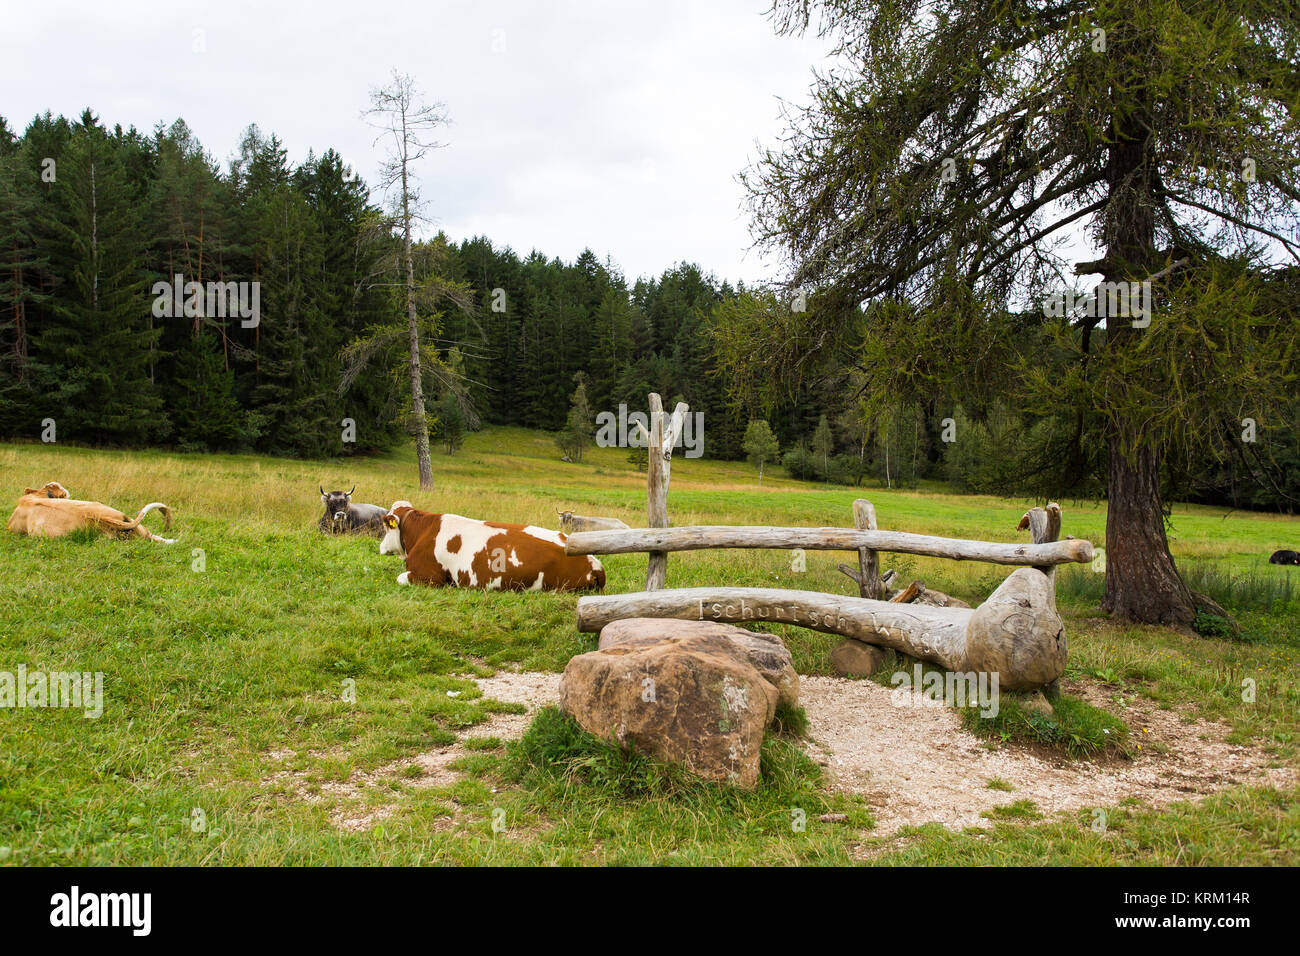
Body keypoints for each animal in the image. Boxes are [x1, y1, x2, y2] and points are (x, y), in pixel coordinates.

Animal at [379, 502, 603, 590]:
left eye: (386, 526)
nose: (381, 547)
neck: (423, 532)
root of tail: (595, 563)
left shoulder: (430, 577)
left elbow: (400, 578)